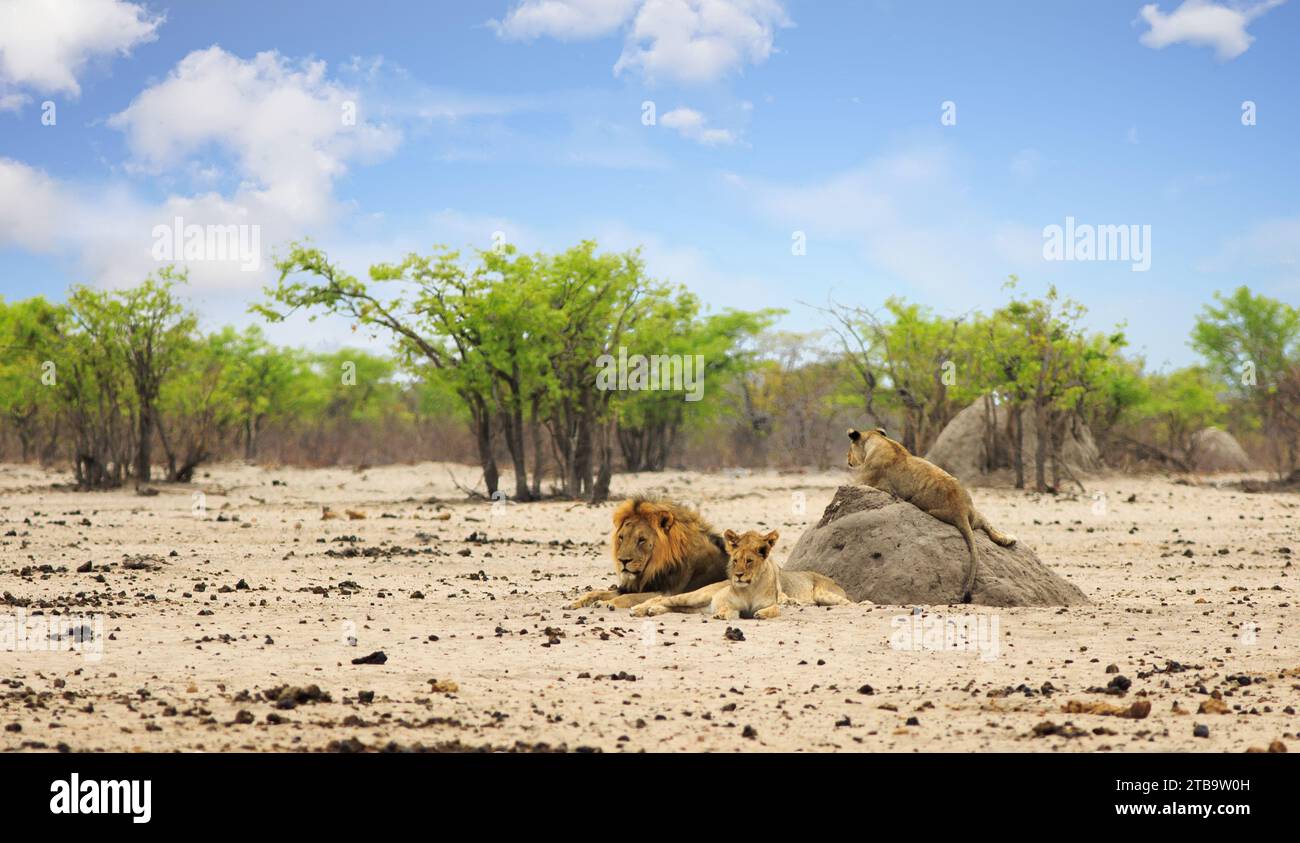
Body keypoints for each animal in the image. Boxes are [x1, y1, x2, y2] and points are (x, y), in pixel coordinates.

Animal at [567, 496, 728, 610]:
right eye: (621, 537)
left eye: (641, 540)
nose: (623, 561)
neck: (652, 568)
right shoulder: (634, 587)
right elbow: (595, 592)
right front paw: (573, 603)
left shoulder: (667, 592)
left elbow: (629, 598)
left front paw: (605, 603)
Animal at [631, 529, 852, 620]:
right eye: (735, 558)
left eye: (750, 560)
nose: (737, 575)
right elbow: (731, 611)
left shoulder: (772, 600)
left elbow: (774, 608)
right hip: (694, 596)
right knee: (663, 598)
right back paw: (641, 609)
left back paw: (652, 611)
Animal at [847, 427, 1016, 603]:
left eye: (850, 449)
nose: (848, 459)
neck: (879, 440)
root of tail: (961, 510)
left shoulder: (864, 482)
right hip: (975, 511)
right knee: (986, 523)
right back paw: (1007, 540)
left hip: (931, 510)